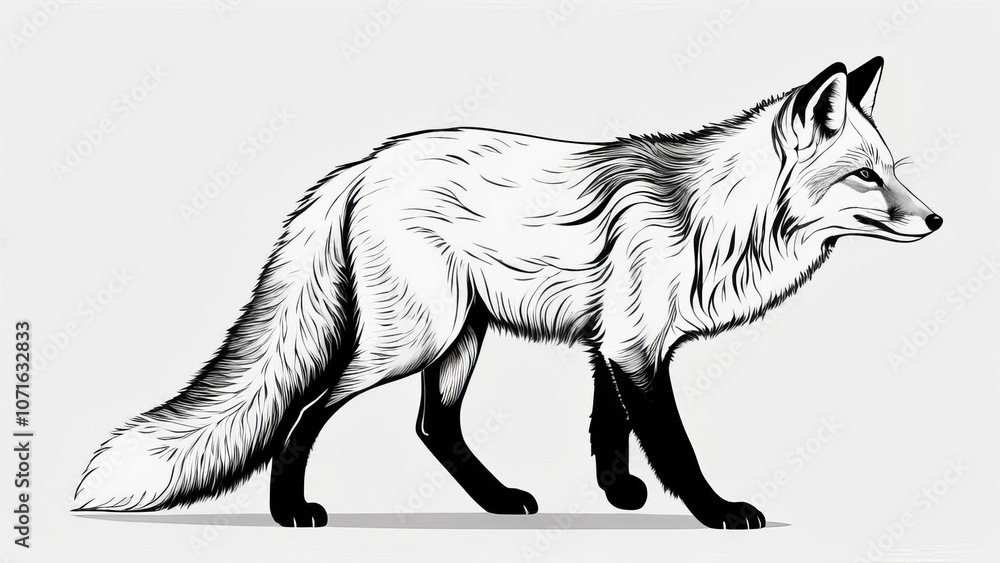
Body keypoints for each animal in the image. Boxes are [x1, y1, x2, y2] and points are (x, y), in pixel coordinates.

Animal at [74, 57, 940, 529]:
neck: (710, 218)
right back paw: (290, 511)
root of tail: (362, 164)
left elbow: (608, 429)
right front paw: (716, 510)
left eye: (893, 169)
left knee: (433, 425)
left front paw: (620, 493)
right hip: (413, 337)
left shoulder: (611, 340)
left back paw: (495, 500)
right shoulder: (635, 345)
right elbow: (671, 442)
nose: (936, 218)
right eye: (867, 176)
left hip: (460, 336)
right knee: (307, 411)